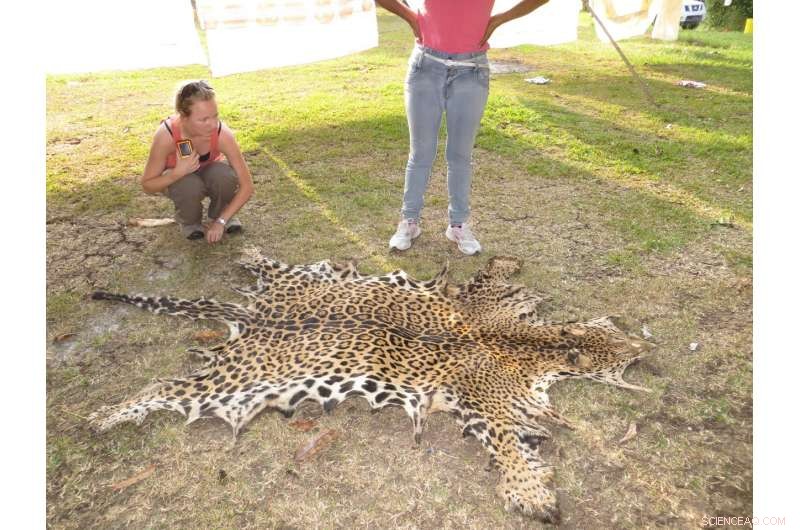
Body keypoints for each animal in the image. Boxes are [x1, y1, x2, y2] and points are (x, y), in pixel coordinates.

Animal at [89, 248, 652, 523]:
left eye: (616, 332)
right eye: (620, 348)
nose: (645, 348)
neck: (523, 342)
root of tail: (251, 315)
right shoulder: (485, 401)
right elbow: (510, 447)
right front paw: (534, 496)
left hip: (295, 291)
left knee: (272, 268)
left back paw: (248, 254)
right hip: (229, 381)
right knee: (162, 385)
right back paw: (105, 415)